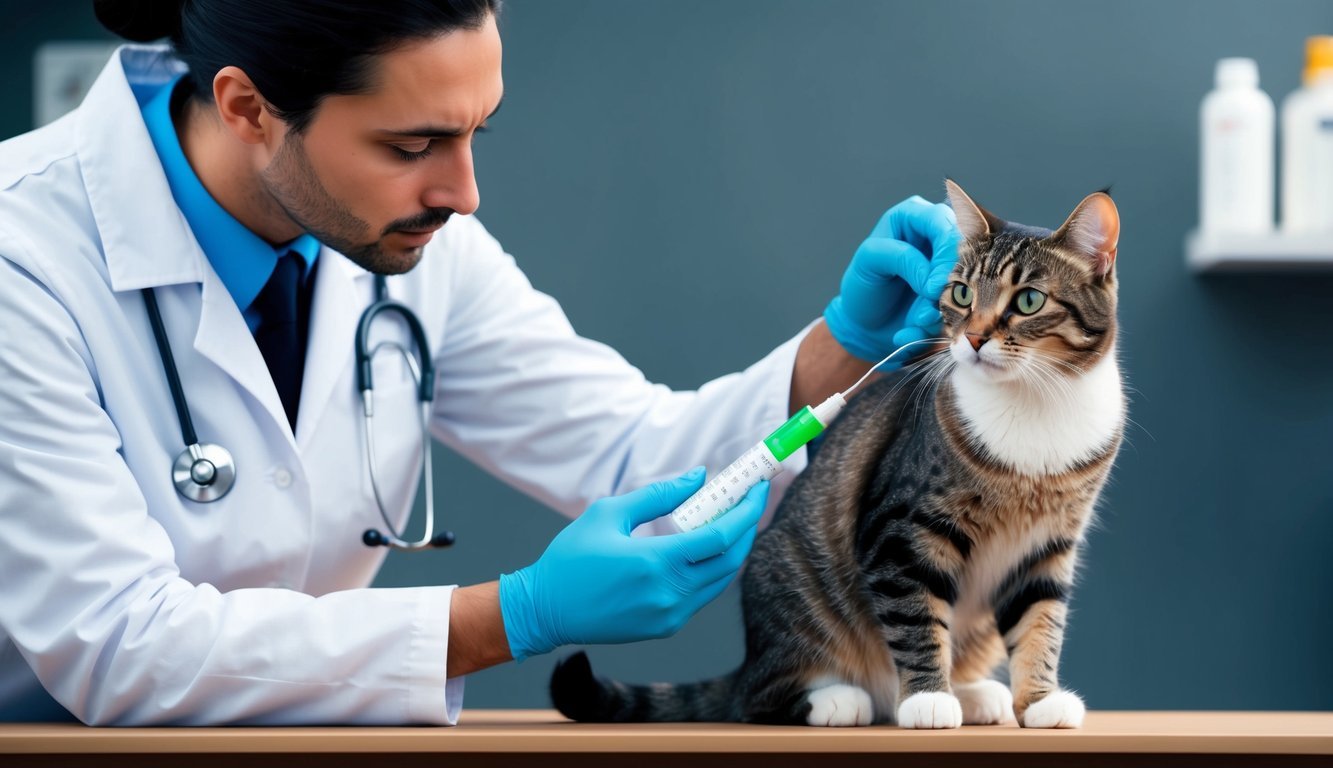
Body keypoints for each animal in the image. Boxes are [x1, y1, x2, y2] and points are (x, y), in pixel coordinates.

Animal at [551, 180, 1125, 725]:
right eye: (961, 293)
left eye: (1028, 301)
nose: (975, 339)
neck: (1036, 402)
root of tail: (749, 659)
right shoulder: (899, 531)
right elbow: (916, 620)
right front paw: (927, 701)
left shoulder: (1047, 547)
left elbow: (1040, 624)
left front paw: (1040, 701)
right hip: (792, 589)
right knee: (759, 697)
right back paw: (843, 700)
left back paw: (976, 693)